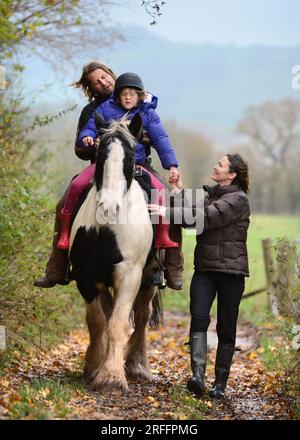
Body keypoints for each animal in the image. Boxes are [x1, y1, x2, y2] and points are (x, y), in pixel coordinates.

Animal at [69, 112, 161, 392]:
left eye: (130, 158)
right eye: (100, 155)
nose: (108, 207)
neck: (107, 228)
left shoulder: (129, 275)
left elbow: (119, 324)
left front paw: (111, 376)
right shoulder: (86, 276)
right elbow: (98, 321)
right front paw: (94, 367)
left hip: (149, 278)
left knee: (142, 316)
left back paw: (137, 365)